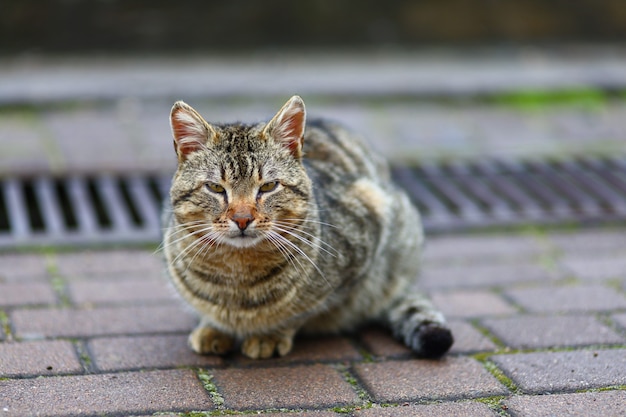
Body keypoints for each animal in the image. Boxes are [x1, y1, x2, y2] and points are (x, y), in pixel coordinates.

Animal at [163, 94, 450, 358]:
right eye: (215, 187)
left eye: (268, 186)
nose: (242, 218)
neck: (238, 273)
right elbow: (206, 309)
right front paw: (212, 328)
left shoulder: (370, 215)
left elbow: (300, 312)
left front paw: (269, 335)